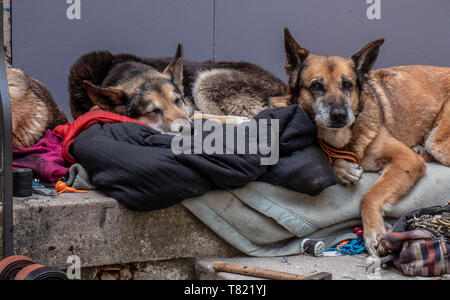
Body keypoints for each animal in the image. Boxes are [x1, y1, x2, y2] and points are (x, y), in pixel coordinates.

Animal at [278, 28, 450, 254]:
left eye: (347, 85)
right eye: (316, 86)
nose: (340, 115)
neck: (343, 139)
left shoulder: (407, 161)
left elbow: (369, 196)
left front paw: (374, 232)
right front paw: (343, 169)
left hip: (437, 140)